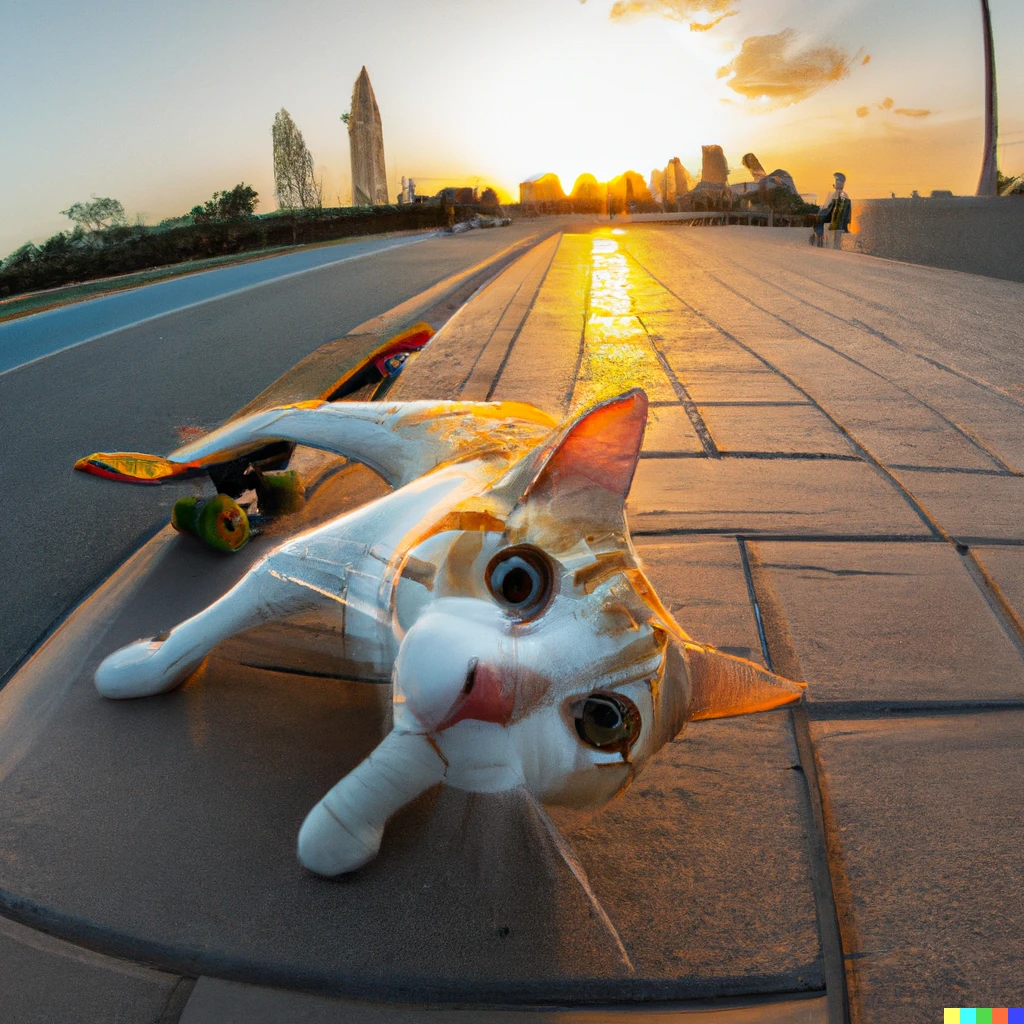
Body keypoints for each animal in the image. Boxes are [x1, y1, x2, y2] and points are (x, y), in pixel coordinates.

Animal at [92, 387, 802, 876]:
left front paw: (340, 833)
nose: (487, 692)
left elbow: (401, 766)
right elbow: (228, 608)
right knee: (282, 414)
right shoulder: (314, 560)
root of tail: (528, 415)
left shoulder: (453, 744)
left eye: (605, 721)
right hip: (388, 421)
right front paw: (139, 668)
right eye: (517, 580)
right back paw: (173, 455)